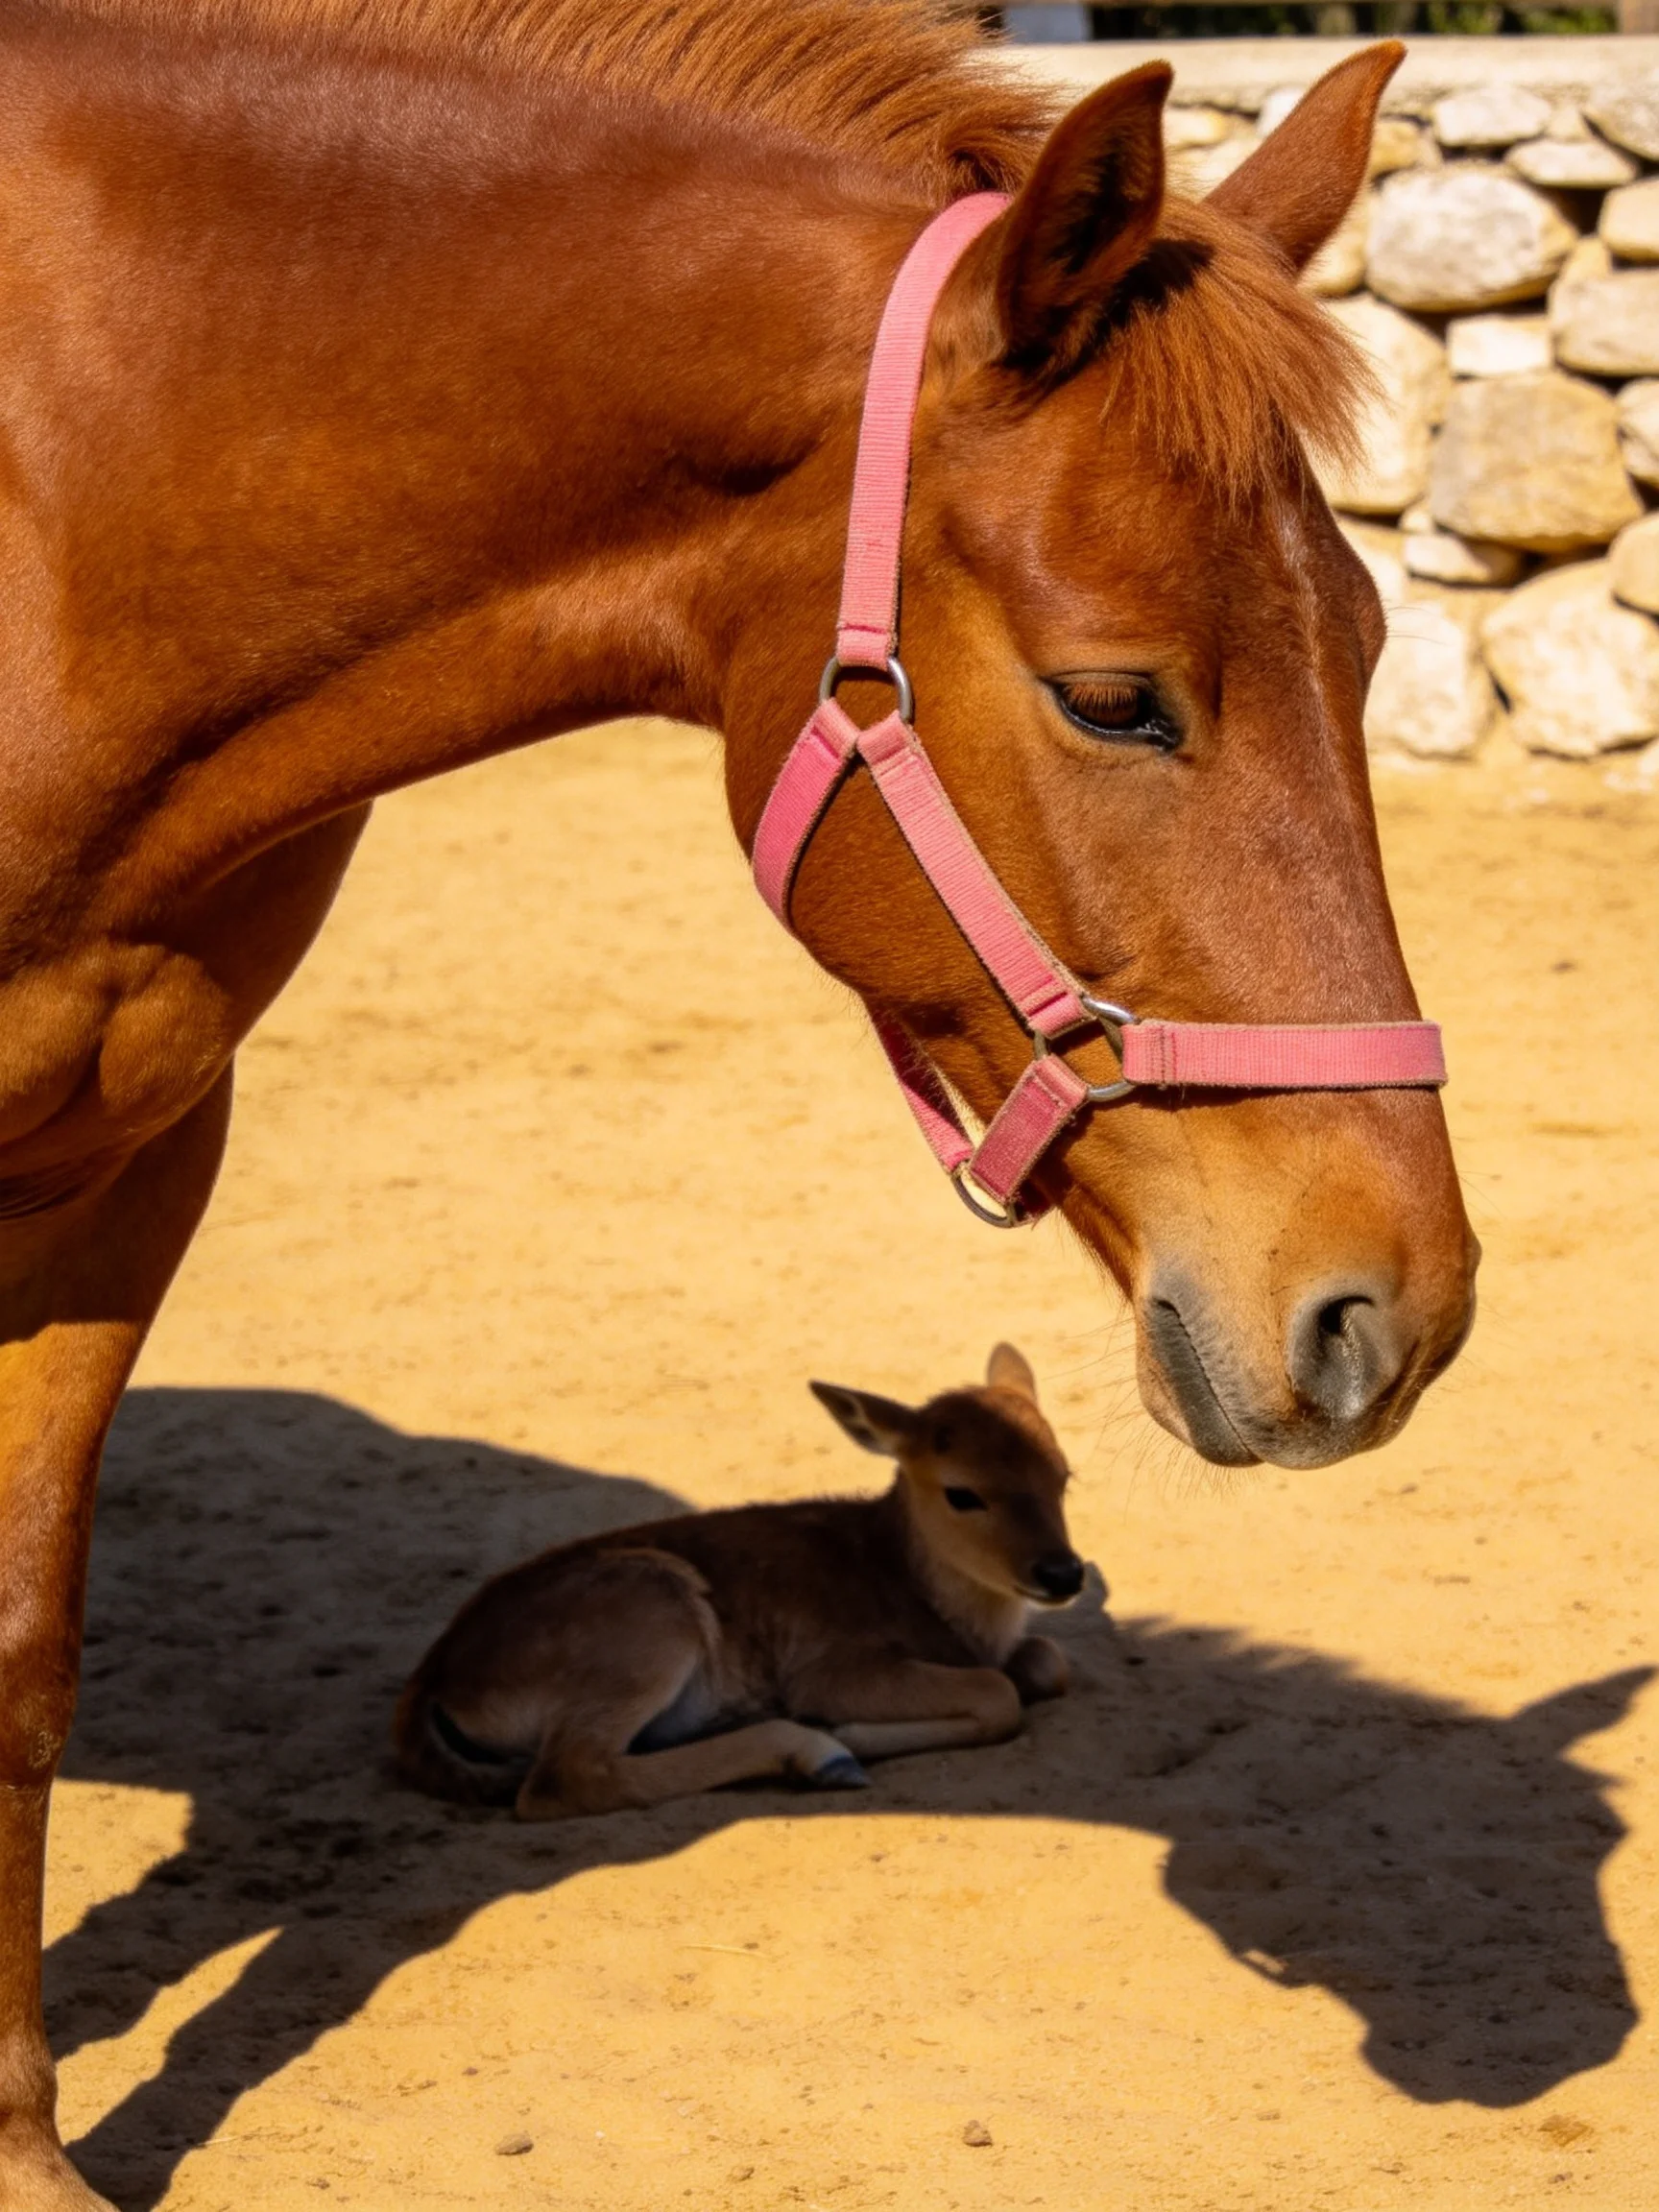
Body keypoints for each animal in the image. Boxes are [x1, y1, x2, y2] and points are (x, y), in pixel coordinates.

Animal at [0, 3, 1476, 2201]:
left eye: (1375, 645)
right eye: (1113, 695)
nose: (1395, 1305)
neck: (81, 495)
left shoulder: (134, 1156)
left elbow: (23, 1654)